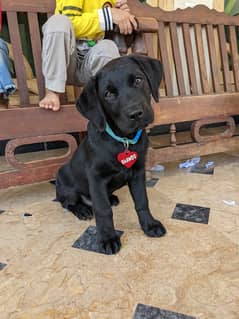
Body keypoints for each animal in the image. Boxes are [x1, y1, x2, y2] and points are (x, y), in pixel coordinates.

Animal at [56, 54, 166, 255]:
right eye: (108, 94)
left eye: (138, 80)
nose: (136, 113)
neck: (123, 140)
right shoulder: (96, 178)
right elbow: (103, 210)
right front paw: (107, 238)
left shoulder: (138, 173)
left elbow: (142, 201)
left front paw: (149, 225)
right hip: (66, 184)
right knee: (67, 203)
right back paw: (82, 210)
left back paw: (112, 198)